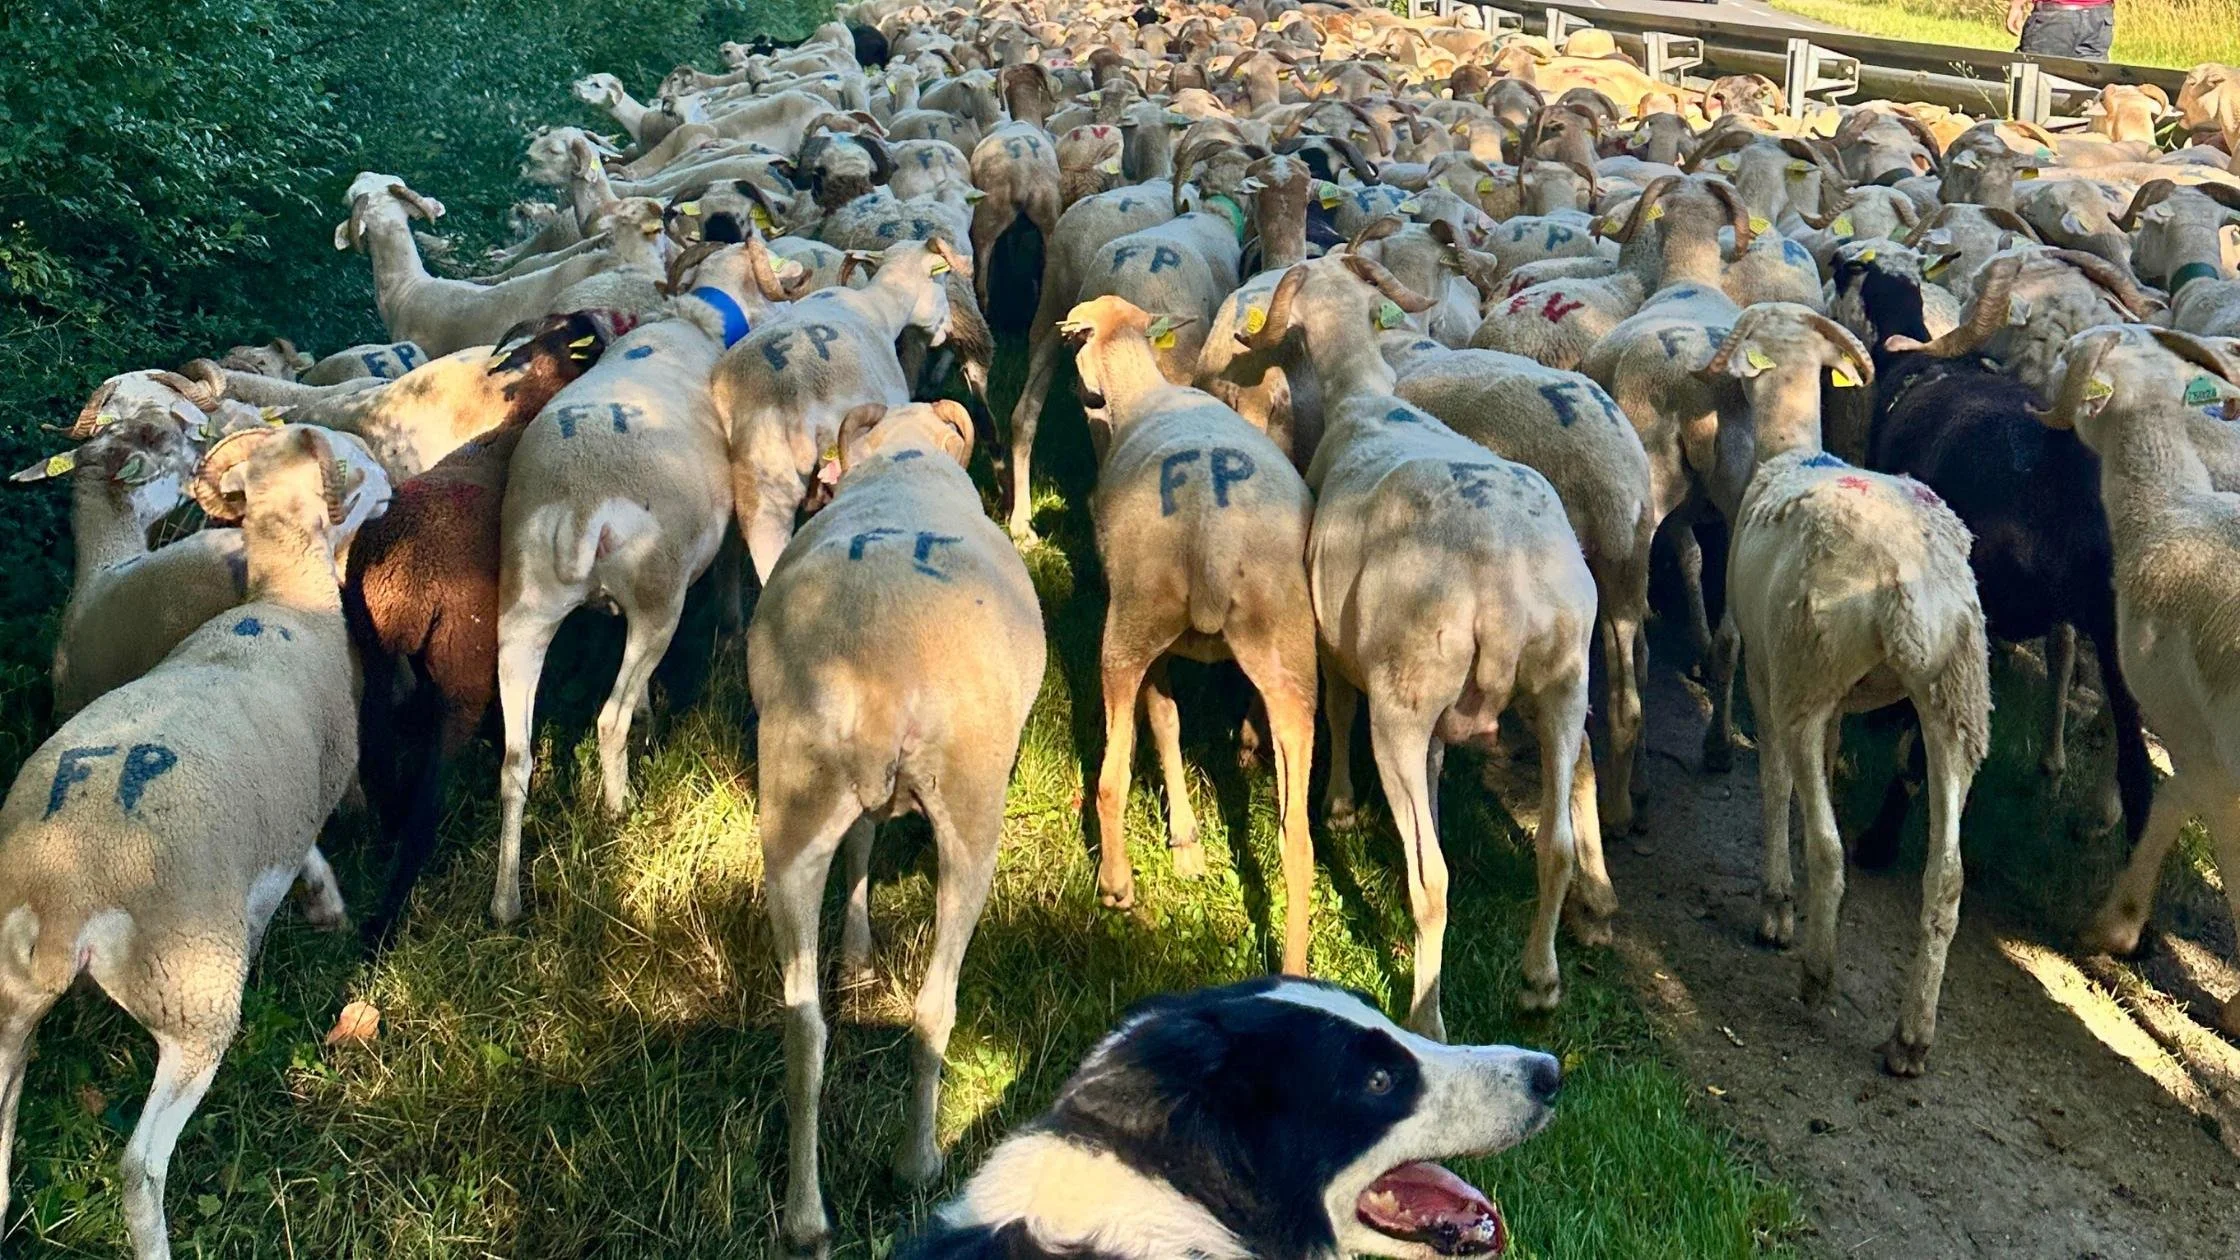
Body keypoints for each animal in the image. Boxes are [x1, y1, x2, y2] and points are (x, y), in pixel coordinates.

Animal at [0, 426, 358, 1260]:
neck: (284, 600)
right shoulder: (300, 810)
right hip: (193, 988)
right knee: (139, 1166)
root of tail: (66, 889)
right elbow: (306, 861)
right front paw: (330, 912)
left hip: (10, 989)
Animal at [343, 311, 619, 947]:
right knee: (431, 793)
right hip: (462, 663)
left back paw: (386, 833)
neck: (517, 422)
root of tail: (400, 577)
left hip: (376, 654)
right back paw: (386, 915)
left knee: (376, 751)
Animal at [750, 400, 1043, 1257]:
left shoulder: (850, 809)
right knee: (932, 1011)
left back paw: (806, 1217)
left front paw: (855, 953)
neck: (906, 458)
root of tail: (880, 685)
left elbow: (862, 845)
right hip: (973, 817)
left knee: (803, 1029)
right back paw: (918, 1165)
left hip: (793, 806)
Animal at [1060, 295, 1318, 973]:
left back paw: (1117, 886)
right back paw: (1296, 974)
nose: (1082, 397)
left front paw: (1183, 842)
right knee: (1297, 839)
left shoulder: (1156, 650)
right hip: (1288, 653)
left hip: (1129, 625)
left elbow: (1165, 726)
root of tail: (1212, 540)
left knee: (1109, 779)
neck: (1143, 391)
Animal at [1698, 302, 1988, 1076]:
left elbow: (1775, 786)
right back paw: (1911, 1038)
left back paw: (1816, 972)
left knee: (1830, 849)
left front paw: (1775, 906)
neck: (1789, 450)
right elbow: (1826, 767)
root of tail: (1903, 584)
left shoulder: (1771, 676)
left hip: (1809, 668)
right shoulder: (1837, 705)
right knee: (1946, 876)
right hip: (1954, 701)